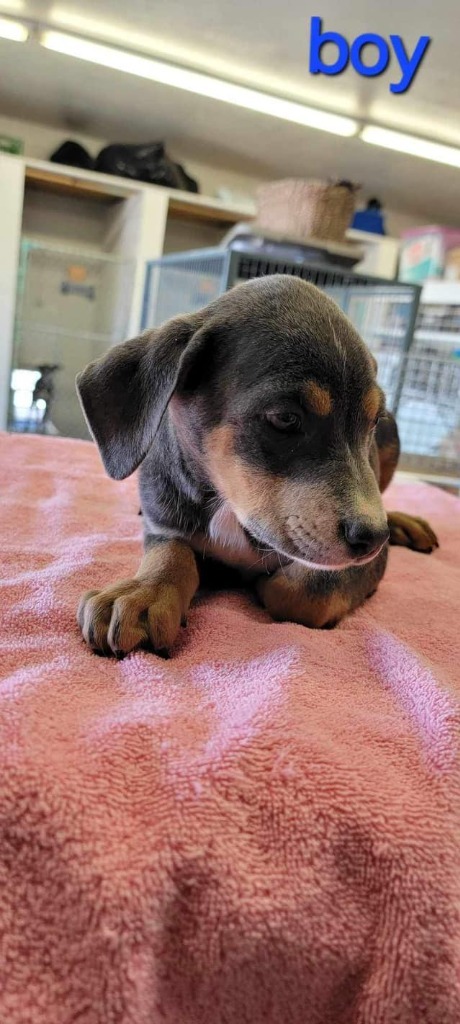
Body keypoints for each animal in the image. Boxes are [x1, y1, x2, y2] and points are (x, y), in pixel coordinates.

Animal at [75, 274, 438, 655]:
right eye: (284, 418)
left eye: (372, 421)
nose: (373, 538)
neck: (230, 507)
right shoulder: (164, 524)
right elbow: (171, 553)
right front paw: (144, 593)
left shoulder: (360, 564)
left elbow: (301, 592)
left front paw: (259, 582)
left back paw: (402, 522)